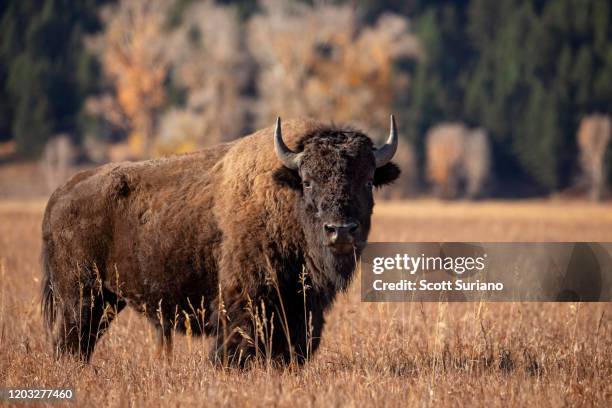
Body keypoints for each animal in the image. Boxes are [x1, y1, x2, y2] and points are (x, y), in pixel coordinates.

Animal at [39, 116, 402, 364]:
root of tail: (60, 193)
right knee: (71, 342)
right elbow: (234, 346)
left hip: (106, 300)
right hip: (81, 297)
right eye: (309, 181)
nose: (340, 230)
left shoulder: (300, 307)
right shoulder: (243, 301)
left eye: (367, 181)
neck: (283, 196)